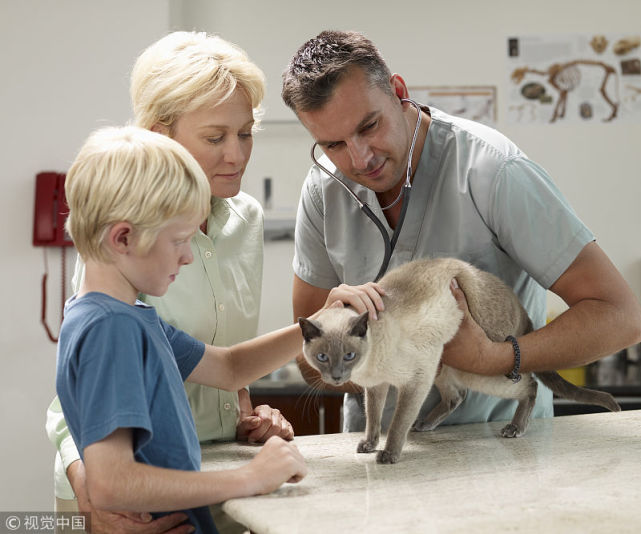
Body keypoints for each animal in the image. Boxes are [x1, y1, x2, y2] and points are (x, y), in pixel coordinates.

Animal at [300, 258, 620, 464]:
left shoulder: (415, 379)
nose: (337, 377)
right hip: (446, 368)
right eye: (322, 358)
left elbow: (397, 422)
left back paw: (513, 428)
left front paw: (388, 455)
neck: (368, 367)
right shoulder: (377, 386)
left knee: (530, 386)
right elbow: (374, 418)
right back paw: (425, 424)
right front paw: (368, 444)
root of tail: (520, 307)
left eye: (349, 356)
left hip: (479, 369)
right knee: (457, 397)